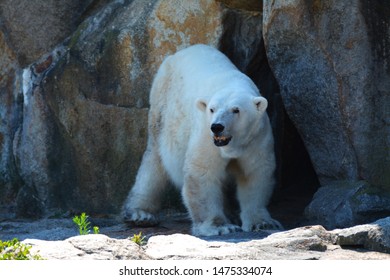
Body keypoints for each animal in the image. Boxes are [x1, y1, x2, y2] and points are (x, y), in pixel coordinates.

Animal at [123, 44, 282, 236]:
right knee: (154, 160)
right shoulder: (206, 138)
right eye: (212, 109)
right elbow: (203, 173)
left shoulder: (256, 138)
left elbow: (255, 174)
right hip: (162, 106)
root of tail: (177, 54)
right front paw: (220, 227)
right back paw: (141, 214)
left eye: (236, 110)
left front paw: (262, 223)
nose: (217, 126)